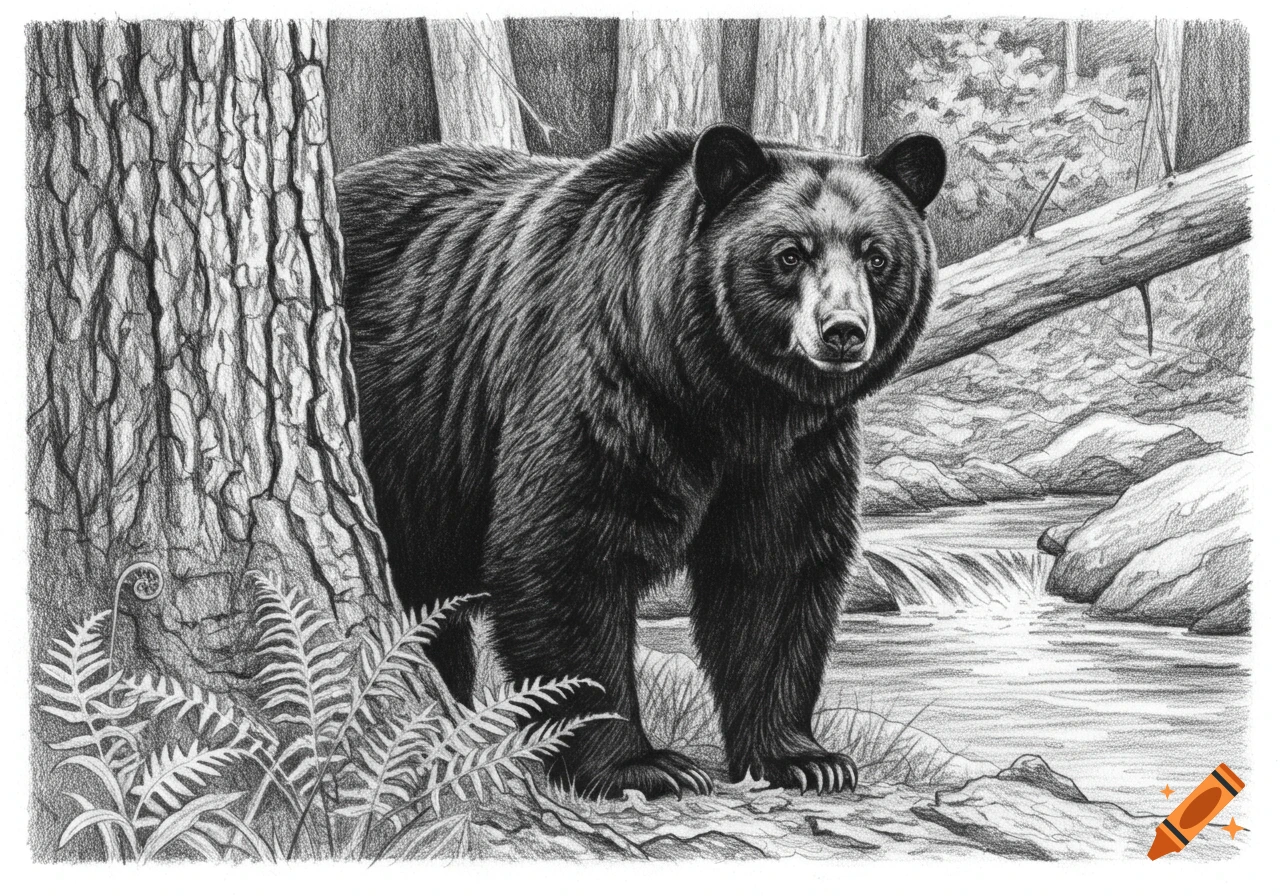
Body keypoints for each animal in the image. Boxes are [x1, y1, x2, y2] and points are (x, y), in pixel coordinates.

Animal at [336, 125, 945, 800]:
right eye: (790, 254)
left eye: (877, 256)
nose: (842, 331)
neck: (727, 393)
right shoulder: (609, 384)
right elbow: (567, 552)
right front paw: (640, 765)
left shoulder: (794, 451)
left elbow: (777, 573)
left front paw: (802, 758)